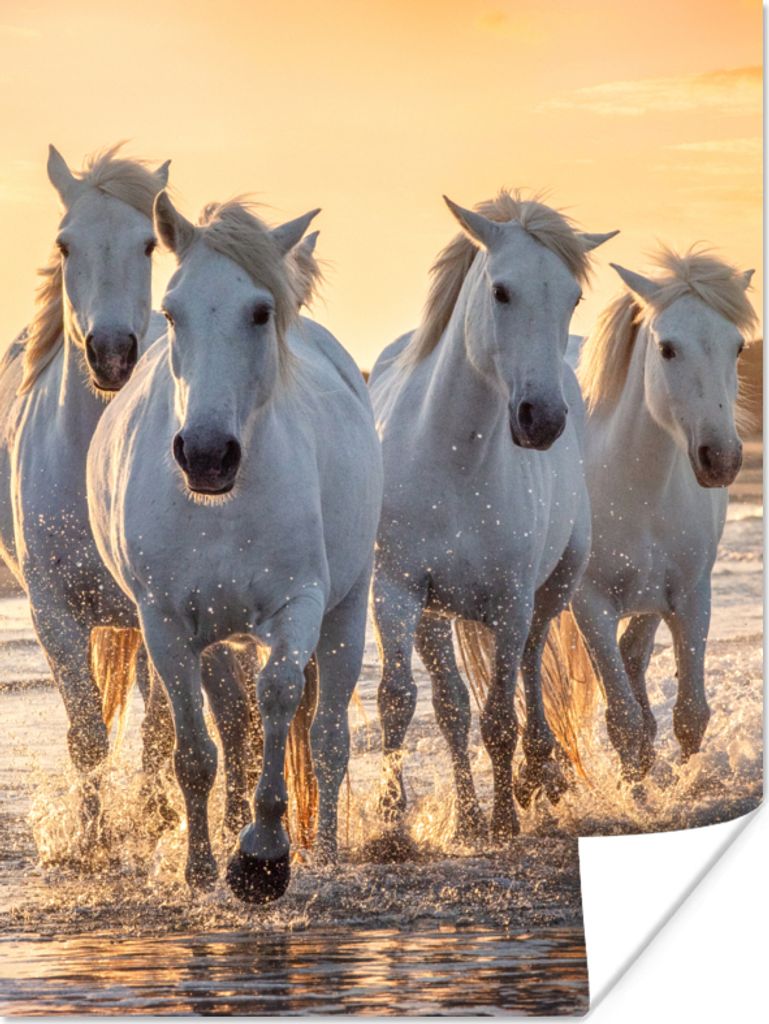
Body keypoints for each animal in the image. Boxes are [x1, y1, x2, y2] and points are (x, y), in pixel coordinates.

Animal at [87, 193, 383, 900]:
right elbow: (196, 751)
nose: (205, 454)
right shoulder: (165, 623)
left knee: (328, 739)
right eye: (172, 311)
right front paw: (200, 869)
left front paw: (263, 856)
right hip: (219, 638)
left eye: (260, 311)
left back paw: (326, 852)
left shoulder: (299, 606)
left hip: (346, 612)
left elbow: (278, 697)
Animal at [368, 190, 617, 843]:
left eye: (572, 297)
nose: (542, 420)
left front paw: (506, 816)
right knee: (452, 705)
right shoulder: (397, 592)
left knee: (530, 668)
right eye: (501, 291)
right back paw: (468, 816)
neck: (453, 458)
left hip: (550, 591)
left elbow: (502, 714)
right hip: (435, 614)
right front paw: (392, 825)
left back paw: (537, 774)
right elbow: (401, 700)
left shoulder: (510, 602)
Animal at [565, 248, 757, 779]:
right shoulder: (590, 606)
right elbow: (624, 725)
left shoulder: (691, 596)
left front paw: (681, 785)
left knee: (634, 654)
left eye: (737, 347)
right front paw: (639, 795)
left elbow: (691, 714)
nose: (722, 459)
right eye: (668, 349)